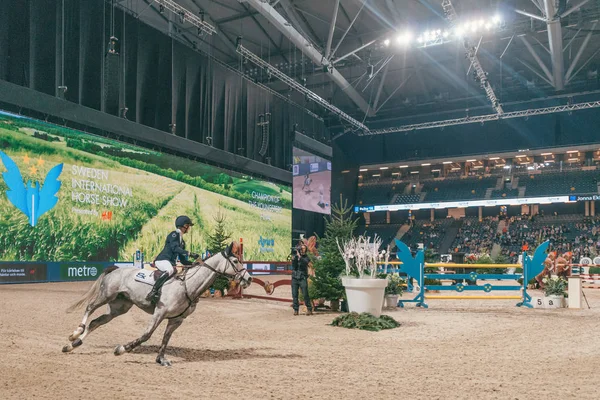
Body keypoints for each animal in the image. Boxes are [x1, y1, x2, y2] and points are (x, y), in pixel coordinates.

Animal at [61, 241, 248, 366]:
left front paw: (161, 359)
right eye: (235, 261)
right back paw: (75, 333)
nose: (247, 278)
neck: (188, 285)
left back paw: (72, 345)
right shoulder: (160, 312)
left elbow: (166, 338)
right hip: (107, 295)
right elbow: (146, 335)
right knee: (90, 308)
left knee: (96, 322)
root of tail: (116, 269)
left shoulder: (176, 319)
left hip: (119, 308)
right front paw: (121, 349)